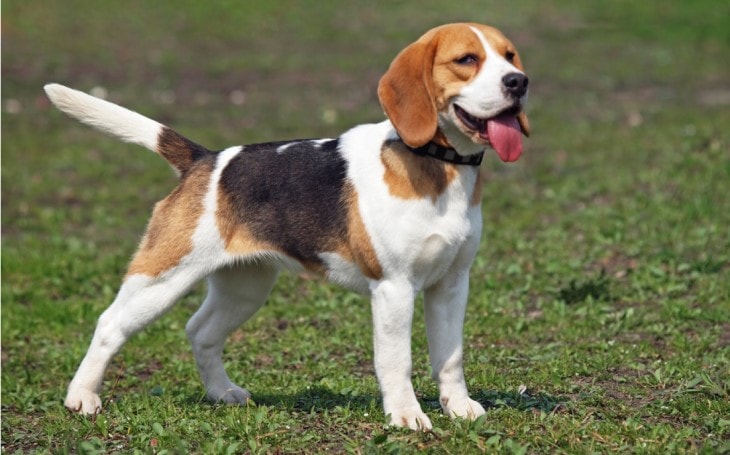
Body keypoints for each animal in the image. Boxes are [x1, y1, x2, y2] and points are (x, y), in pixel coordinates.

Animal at [47, 22, 528, 432]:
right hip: (162, 277)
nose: (518, 82)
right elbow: (398, 361)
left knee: (200, 332)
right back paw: (81, 398)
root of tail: (205, 159)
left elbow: (450, 356)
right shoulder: (394, 287)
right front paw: (407, 416)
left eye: (509, 56)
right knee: (110, 324)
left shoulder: (451, 283)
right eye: (467, 59)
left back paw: (222, 392)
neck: (437, 162)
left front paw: (459, 408)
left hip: (245, 286)